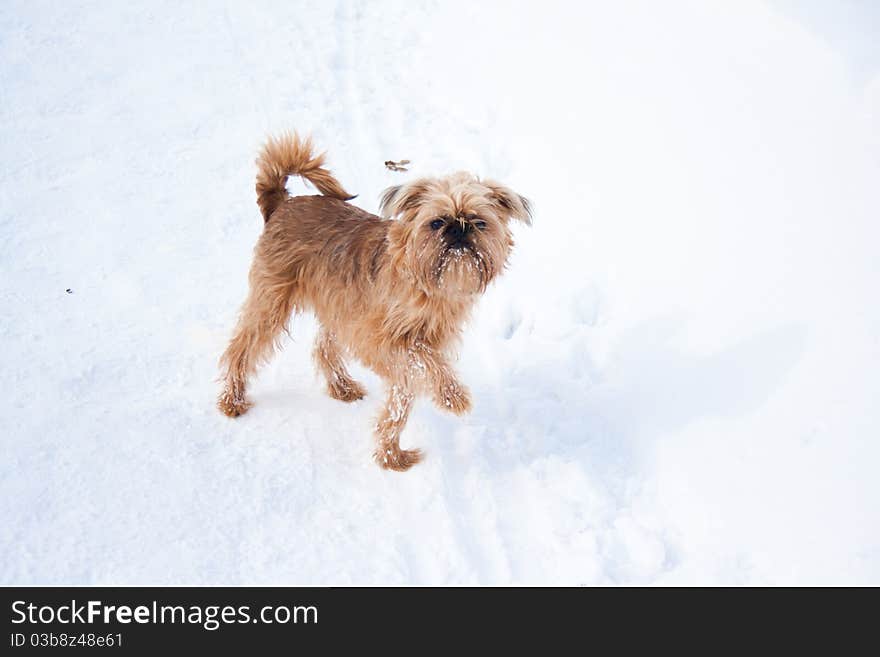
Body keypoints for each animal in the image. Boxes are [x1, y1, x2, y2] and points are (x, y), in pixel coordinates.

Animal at [217, 133, 528, 468]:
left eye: (479, 222)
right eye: (436, 223)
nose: (458, 229)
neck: (426, 286)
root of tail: (282, 203)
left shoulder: (406, 346)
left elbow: (403, 397)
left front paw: (391, 453)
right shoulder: (381, 340)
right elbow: (424, 361)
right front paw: (452, 396)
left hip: (339, 307)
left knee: (323, 347)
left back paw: (341, 387)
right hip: (272, 302)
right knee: (241, 347)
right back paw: (232, 398)